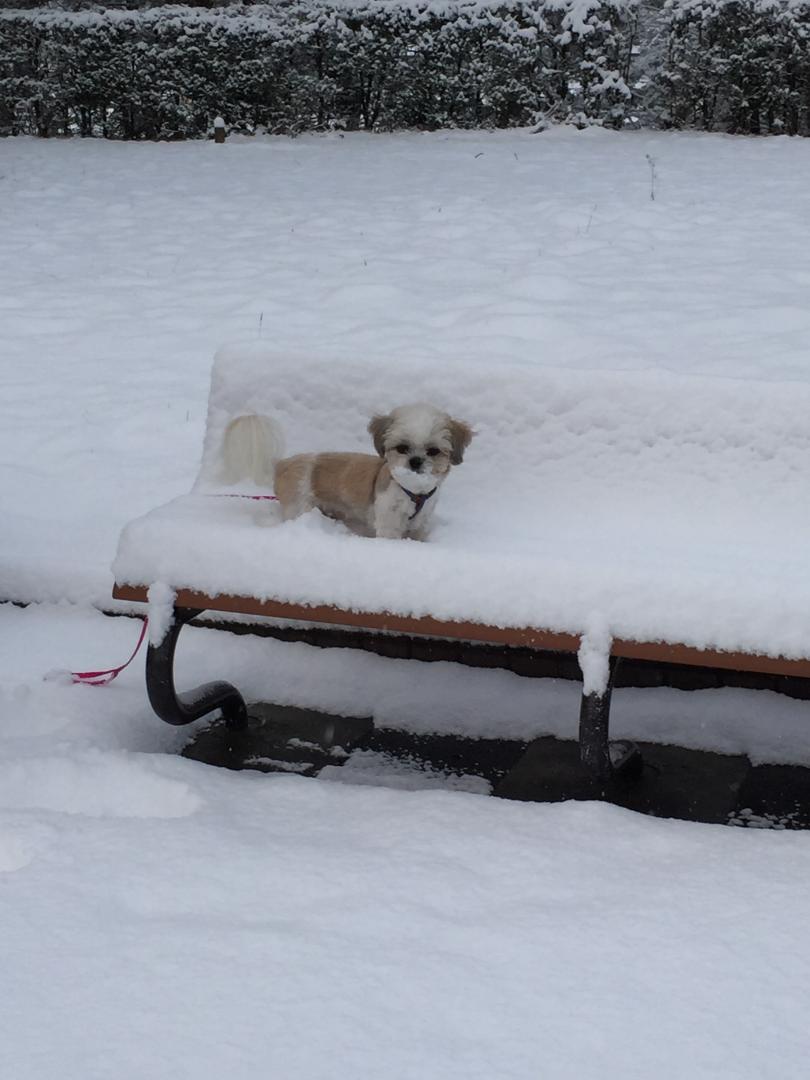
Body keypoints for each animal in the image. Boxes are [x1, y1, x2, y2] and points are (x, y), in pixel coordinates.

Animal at [222, 406, 475, 540]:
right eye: (402, 447)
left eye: (433, 451)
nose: (415, 461)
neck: (414, 493)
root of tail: (283, 464)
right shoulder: (389, 521)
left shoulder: (421, 523)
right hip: (299, 506)